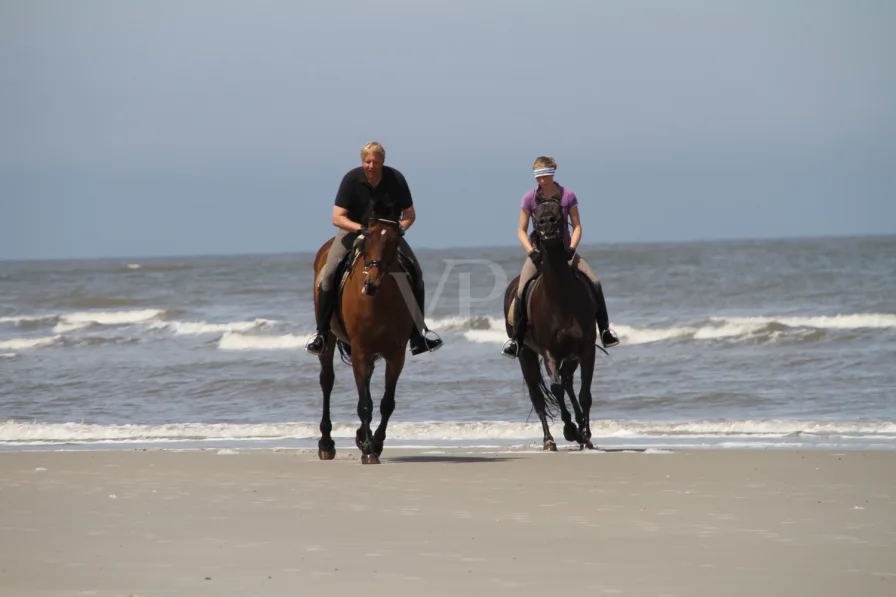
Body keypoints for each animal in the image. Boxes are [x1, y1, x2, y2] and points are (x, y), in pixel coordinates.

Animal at [312, 203, 416, 464]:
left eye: (394, 241)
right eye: (367, 239)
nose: (371, 284)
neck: (379, 300)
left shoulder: (396, 354)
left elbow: (386, 403)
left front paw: (374, 442)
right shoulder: (360, 350)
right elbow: (365, 403)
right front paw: (369, 449)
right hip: (329, 340)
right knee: (327, 381)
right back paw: (326, 444)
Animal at [500, 198, 600, 450]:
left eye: (559, 211)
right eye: (536, 214)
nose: (548, 224)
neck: (560, 297)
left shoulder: (585, 349)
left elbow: (584, 393)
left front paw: (585, 435)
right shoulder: (549, 353)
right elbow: (555, 390)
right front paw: (570, 430)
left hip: (571, 356)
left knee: (567, 382)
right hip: (526, 355)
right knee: (538, 395)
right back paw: (549, 440)